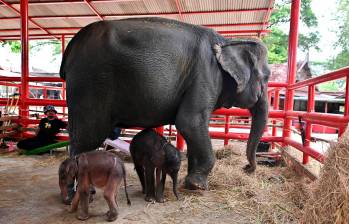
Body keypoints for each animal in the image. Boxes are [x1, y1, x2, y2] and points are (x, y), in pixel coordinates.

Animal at [59, 17, 270, 191]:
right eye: (266, 77)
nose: (247, 167)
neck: (228, 40)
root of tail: (70, 48)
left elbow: (191, 128)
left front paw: (190, 181)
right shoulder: (206, 76)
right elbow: (190, 122)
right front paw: (197, 186)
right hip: (90, 83)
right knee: (86, 138)